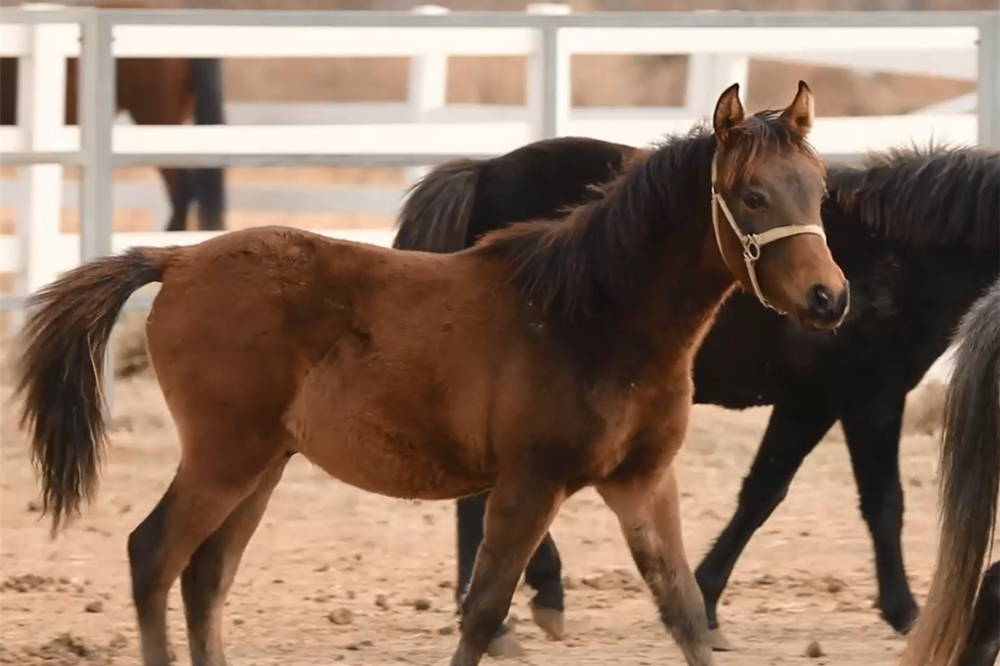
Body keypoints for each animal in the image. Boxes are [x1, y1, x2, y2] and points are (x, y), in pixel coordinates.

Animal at [15, 81, 844, 664]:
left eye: (819, 189)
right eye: (752, 195)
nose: (829, 298)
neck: (590, 317)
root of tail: (177, 260)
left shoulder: (642, 482)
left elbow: (683, 611)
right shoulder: (528, 483)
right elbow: (483, 609)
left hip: (264, 463)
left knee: (205, 576)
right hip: (225, 456)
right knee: (155, 557)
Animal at [390, 135, 1000, 652]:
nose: (830, 300)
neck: (896, 253)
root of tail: (482, 172)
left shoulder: (809, 404)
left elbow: (761, 495)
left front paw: (704, 599)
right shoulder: (869, 400)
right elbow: (882, 504)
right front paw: (908, 612)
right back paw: (522, 605)